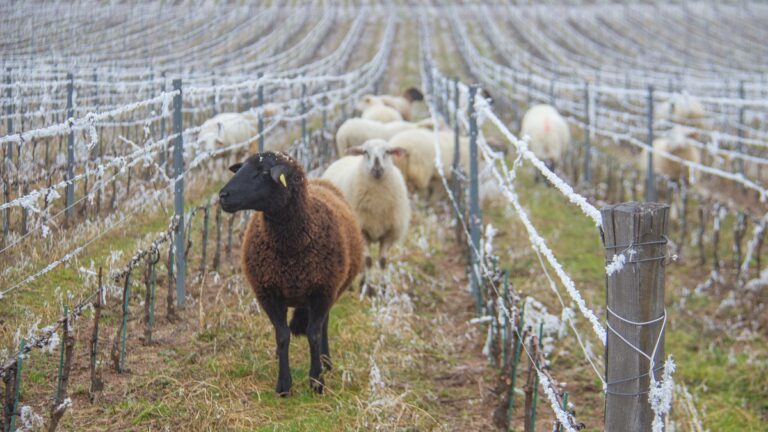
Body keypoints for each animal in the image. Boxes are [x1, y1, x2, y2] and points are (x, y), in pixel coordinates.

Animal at [218, 151, 364, 394]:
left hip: (329, 290)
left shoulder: (322, 291)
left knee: (323, 326)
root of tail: (319, 180)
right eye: (242, 168)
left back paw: (326, 361)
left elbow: (313, 334)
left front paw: (317, 381)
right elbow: (282, 335)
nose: (223, 195)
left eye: (264, 172)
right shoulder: (268, 293)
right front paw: (284, 384)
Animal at [320, 140, 412, 272]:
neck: (378, 200)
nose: (377, 168)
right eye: (365, 152)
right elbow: (367, 261)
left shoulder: (389, 233)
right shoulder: (362, 231)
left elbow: (382, 261)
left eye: (388, 152)